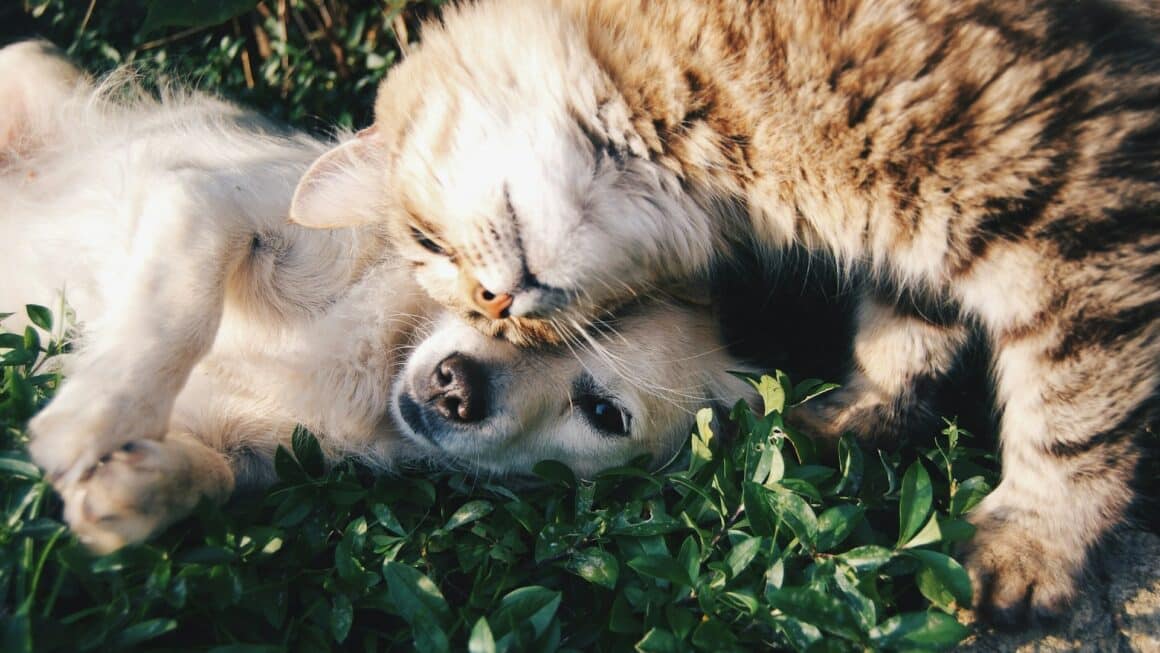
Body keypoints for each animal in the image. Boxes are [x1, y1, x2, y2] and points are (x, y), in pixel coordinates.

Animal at [2, 40, 751, 552]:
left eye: (603, 413)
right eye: (494, 296)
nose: (456, 388)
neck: (381, 356)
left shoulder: (255, 450)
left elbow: (214, 475)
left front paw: (136, 487)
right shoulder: (210, 200)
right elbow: (177, 314)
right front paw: (94, 417)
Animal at [287, 0, 1160, 621]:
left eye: (427, 241)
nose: (497, 304)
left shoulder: (1074, 207)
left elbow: (1073, 415)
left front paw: (1032, 543)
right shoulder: (926, 234)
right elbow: (901, 337)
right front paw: (856, 415)